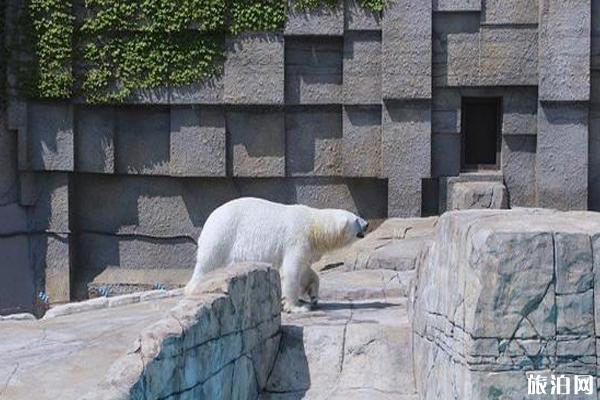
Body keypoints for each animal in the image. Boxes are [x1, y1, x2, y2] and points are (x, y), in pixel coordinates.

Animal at [185, 197, 368, 312]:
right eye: (356, 219)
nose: (366, 224)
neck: (314, 226)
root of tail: (209, 219)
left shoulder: (307, 247)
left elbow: (304, 271)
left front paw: (314, 296)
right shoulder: (297, 238)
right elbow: (291, 271)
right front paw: (297, 307)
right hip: (223, 235)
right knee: (208, 262)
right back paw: (194, 287)